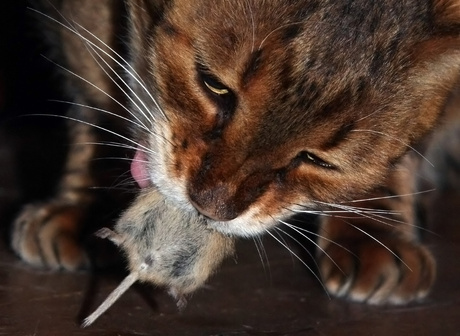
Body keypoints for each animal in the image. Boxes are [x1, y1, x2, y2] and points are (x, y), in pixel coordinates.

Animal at [9, 0, 460, 306]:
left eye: (318, 160)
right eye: (213, 85)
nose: (210, 207)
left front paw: (375, 229)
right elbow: (98, 94)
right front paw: (90, 204)